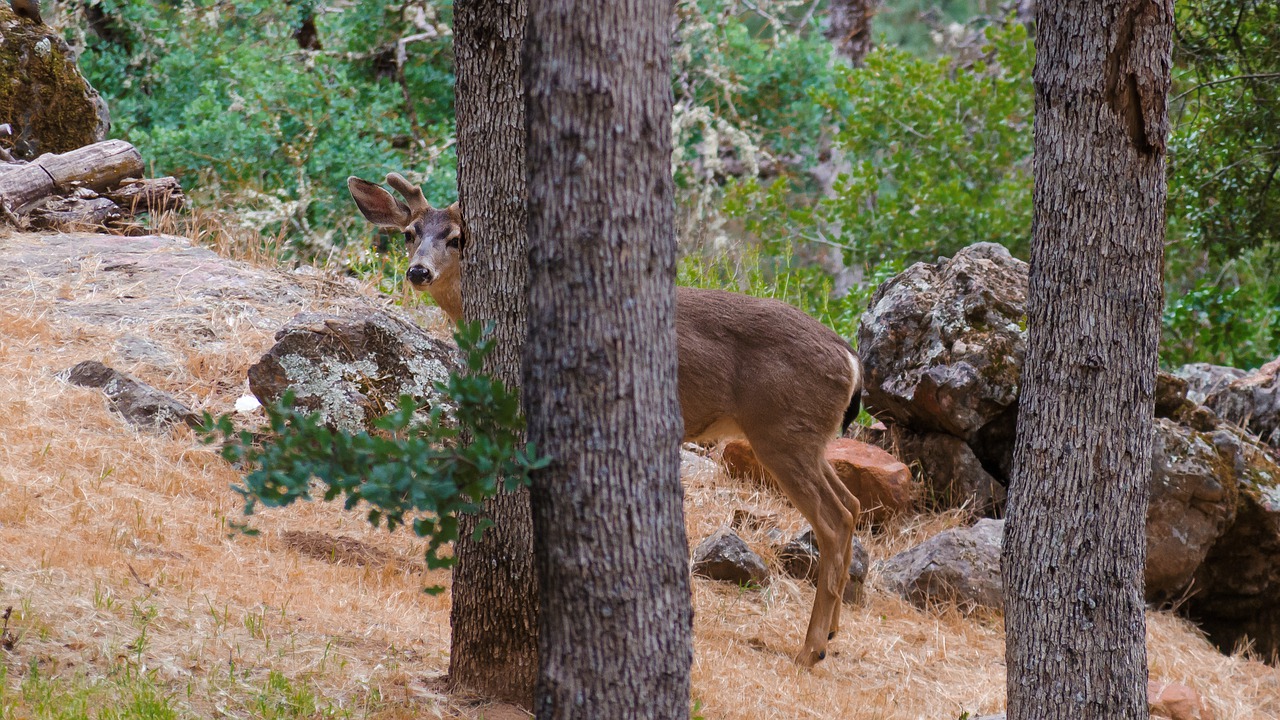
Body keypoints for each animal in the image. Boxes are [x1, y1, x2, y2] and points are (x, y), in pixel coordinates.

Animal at [345, 170, 865, 666]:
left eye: (456, 237)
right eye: (410, 233)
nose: (418, 271)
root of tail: (849, 357)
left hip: (782, 430)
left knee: (835, 518)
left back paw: (810, 650)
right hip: (805, 437)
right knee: (852, 504)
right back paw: (832, 633)